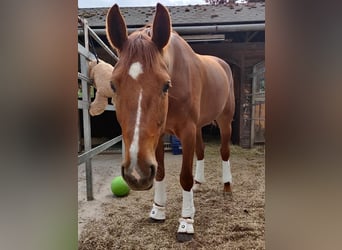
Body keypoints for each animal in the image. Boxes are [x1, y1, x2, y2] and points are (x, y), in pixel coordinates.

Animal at [107, 3, 235, 242]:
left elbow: (184, 177)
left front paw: (186, 222)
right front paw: (158, 210)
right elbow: (160, 172)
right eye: (113, 85)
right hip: (199, 126)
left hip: (225, 120)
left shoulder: (187, 131)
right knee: (201, 151)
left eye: (166, 85)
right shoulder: (158, 135)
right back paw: (199, 184)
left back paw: (227, 186)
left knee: (224, 152)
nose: (136, 173)